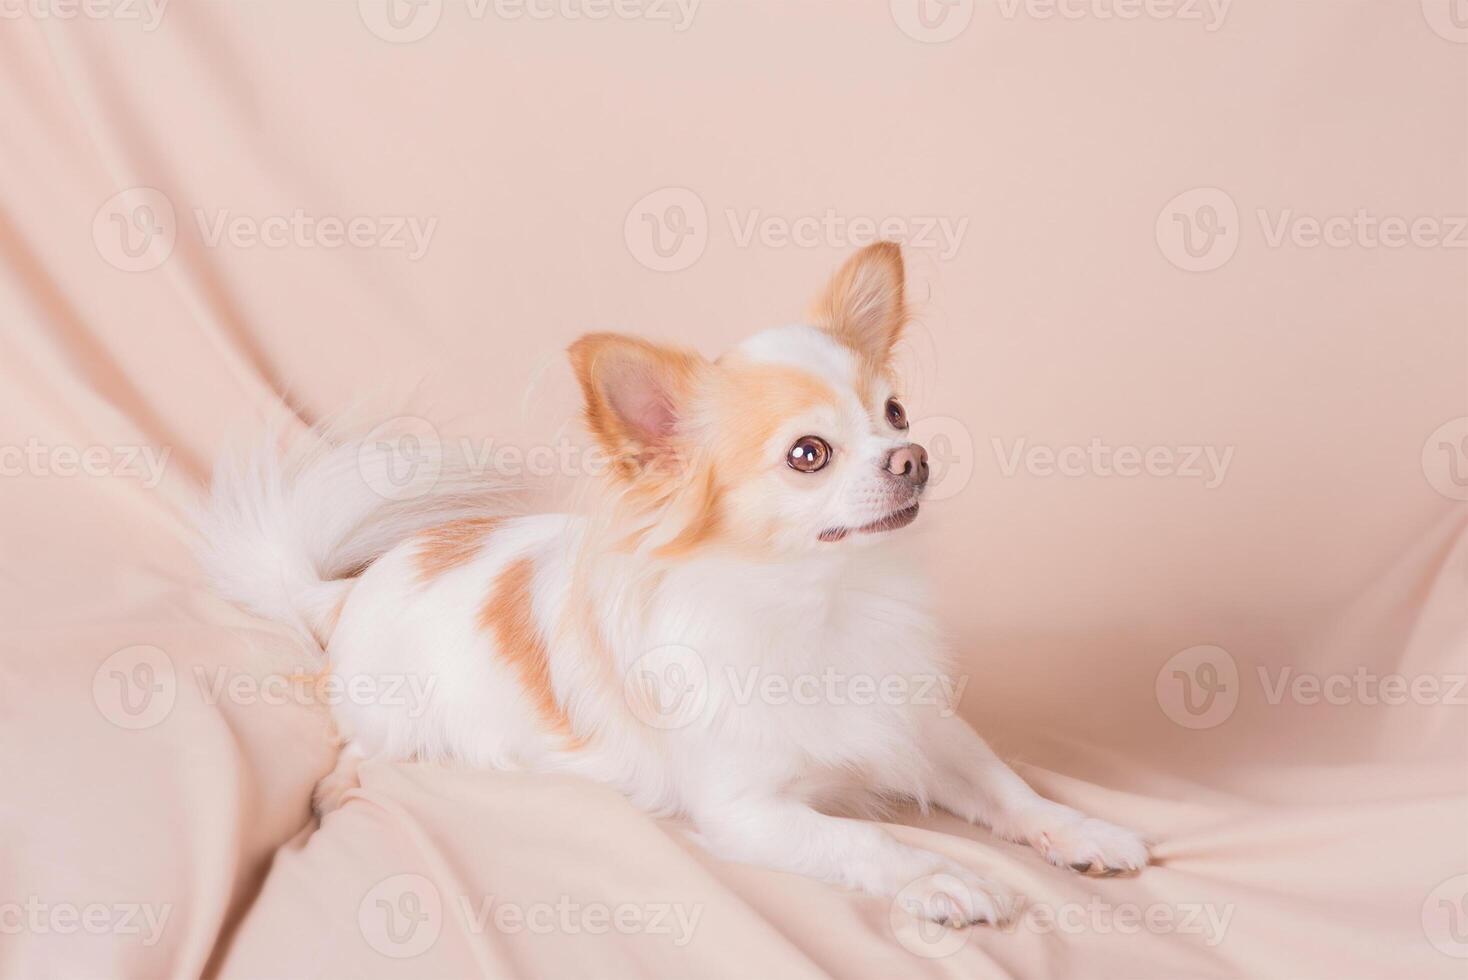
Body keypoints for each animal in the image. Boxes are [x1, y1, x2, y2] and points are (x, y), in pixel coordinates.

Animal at [201, 243, 1150, 927]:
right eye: (810, 454)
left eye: (896, 415)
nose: (914, 458)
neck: (821, 601)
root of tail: (354, 587)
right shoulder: (749, 812)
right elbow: (867, 843)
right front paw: (945, 878)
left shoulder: (920, 725)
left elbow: (1006, 785)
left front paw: (1083, 830)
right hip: (394, 718)